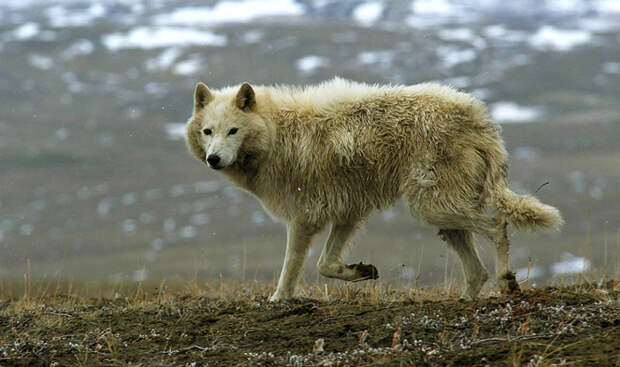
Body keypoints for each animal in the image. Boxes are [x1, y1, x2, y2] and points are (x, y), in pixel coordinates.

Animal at [184, 77, 560, 302]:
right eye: (207, 131)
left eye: (233, 131)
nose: (214, 159)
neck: (276, 136)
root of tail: (479, 117)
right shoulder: (347, 214)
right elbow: (326, 265)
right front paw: (360, 271)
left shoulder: (304, 218)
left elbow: (292, 265)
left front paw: (279, 300)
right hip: (443, 217)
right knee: (476, 269)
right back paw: (465, 301)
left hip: (433, 208)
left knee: (497, 226)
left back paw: (507, 280)